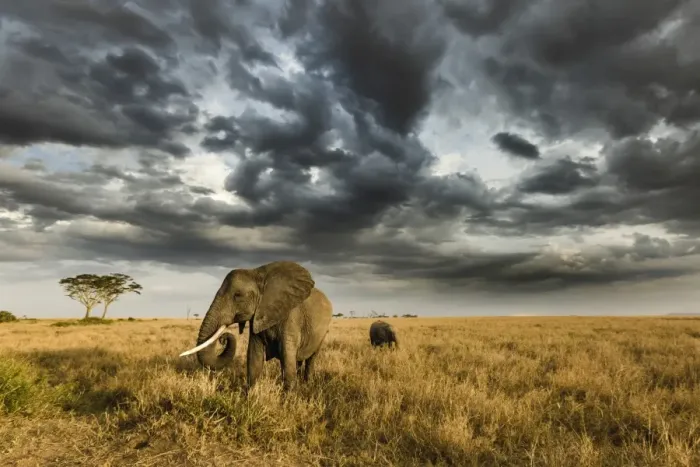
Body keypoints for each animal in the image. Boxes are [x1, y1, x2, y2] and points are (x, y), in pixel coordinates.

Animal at [179, 261, 333, 391]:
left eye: (237, 295)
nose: (223, 338)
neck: (258, 273)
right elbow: (254, 356)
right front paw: (249, 396)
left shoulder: (291, 317)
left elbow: (286, 357)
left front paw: (288, 400)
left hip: (323, 332)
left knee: (311, 358)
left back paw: (307, 384)